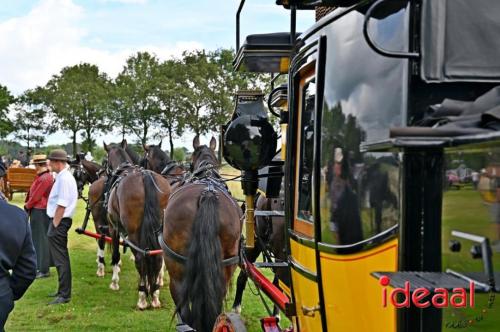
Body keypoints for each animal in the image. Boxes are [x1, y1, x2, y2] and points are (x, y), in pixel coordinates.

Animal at [104, 143, 171, 308]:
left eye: (105, 160)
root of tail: (145, 177)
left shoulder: (114, 228)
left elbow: (116, 254)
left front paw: (115, 282)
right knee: (157, 257)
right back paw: (154, 294)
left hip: (133, 232)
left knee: (140, 257)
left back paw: (142, 297)